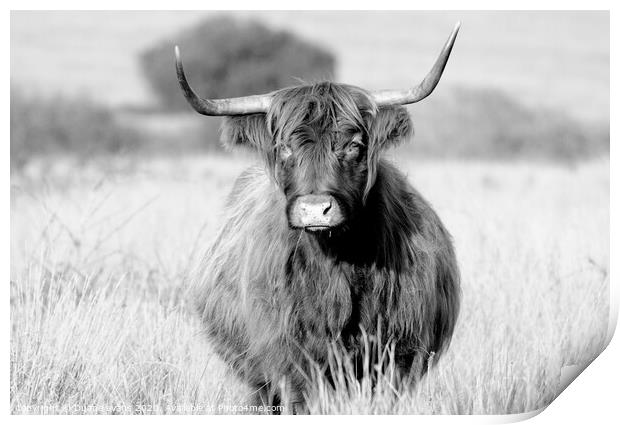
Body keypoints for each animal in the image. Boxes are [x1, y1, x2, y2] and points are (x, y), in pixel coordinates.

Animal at [177, 22, 462, 410]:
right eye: (284, 148)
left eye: (354, 146)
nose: (315, 209)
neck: (341, 263)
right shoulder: (292, 360)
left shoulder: (399, 357)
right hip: (254, 377)